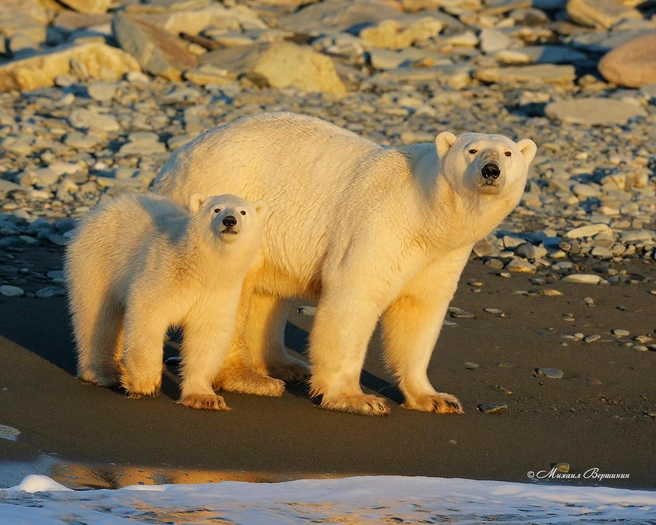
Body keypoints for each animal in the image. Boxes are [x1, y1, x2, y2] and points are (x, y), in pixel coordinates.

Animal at [155, 112, 540, 416]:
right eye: (471, 150)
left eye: (507, 153)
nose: (491, 170)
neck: (427, 212)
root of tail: (172, 162)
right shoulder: (380, 223)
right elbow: (355, 294)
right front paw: (359, 399)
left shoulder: (442, 254)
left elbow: (420, 310)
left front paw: (435, 398)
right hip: (227, 206)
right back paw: (248, 377)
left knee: (269, 294)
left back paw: (287, 366)